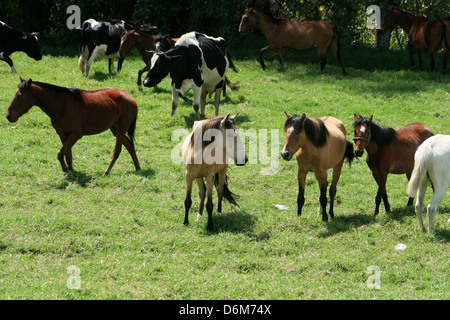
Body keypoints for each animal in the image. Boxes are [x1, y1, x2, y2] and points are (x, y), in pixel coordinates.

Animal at [5, 78, 141, 176]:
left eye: (19, 96)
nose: (8, 115)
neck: (62, 105)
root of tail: (131, 99)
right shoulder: (63, 134)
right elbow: (67, 153)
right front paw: (70, 168)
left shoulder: (75, 135)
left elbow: (60, 153)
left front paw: (65, 168)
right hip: (116, 129)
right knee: (130, 146)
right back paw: (138, 167)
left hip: (121, 129)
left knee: (118, 151)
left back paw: (107, 171)